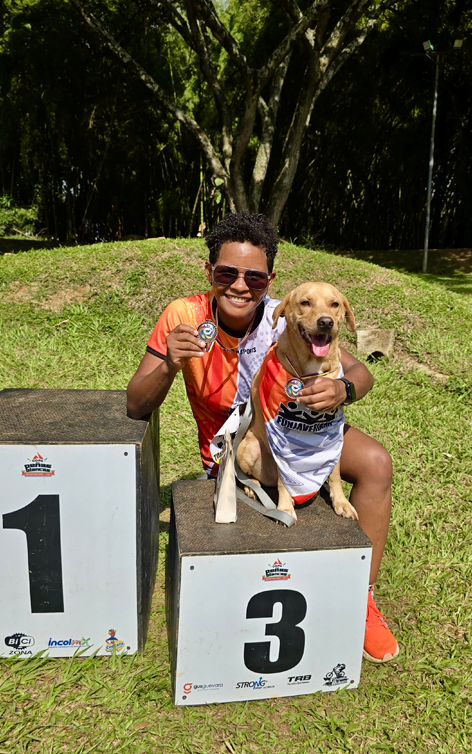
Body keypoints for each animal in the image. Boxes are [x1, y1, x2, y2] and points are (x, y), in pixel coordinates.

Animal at [236, 282, 358, 523]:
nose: (326, 322)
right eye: (305, 302)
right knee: (251, 477)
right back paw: (253, 488)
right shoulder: (282, 447)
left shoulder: (334, 441)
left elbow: (335, 475)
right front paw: (284, 509)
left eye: (335, 304)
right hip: (248, 446)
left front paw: (341, 502)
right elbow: (285, 481)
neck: (312, 369)